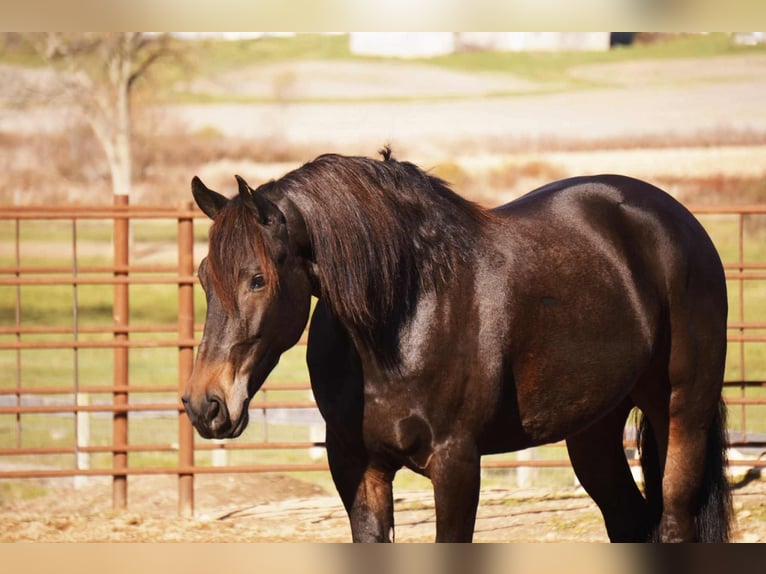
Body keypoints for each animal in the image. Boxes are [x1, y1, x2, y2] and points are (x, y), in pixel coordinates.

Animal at [181, 148, 732, 542]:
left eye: (257, 280)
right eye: (204, 277)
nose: (205, 405)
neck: (399, 320)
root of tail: (678, 220)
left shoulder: (456, 465)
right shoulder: (356, 465)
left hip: (682, 412)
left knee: (674, 520)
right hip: (593, 430)